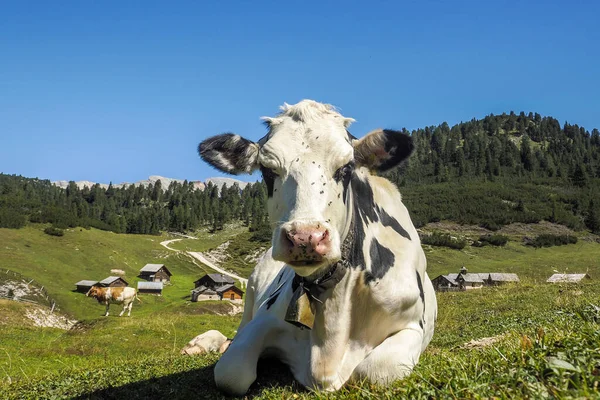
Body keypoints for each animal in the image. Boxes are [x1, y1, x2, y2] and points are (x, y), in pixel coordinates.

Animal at [197, 99, 436, 394]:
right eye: (267, 170)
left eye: (346, 168)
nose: (305, 237)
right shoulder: (264, 320)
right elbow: (231, 372)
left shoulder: (412, 326)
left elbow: (374, 372)